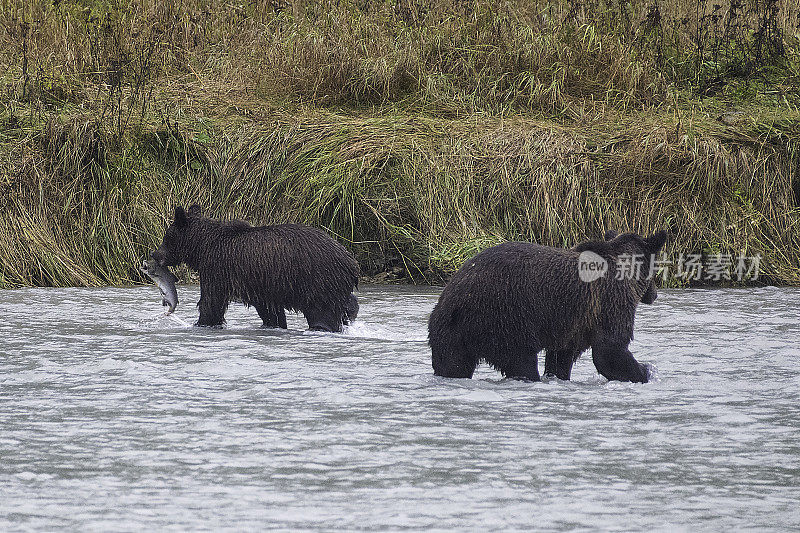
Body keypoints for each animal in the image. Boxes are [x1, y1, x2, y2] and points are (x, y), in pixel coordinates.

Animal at [153, 206, 360, 330]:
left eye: (167, 237)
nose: (156, 255)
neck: (203, 247)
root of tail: (351, 261)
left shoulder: (218, 268)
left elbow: (211, 302)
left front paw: (201, 323)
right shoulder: (260, 283)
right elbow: (270, 311)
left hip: (318, 279)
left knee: (322, 314)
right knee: (347, 303)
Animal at [428, 229, 664, 382]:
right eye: (655, 271)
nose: (654, 294)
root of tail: (456, 300)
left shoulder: (574, 322)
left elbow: (562, 355)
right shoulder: (608, 300)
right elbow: (610, 350)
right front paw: (646, 371)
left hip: (449, 333)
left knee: (452, 364)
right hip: (504, 317)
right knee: (521, 361)